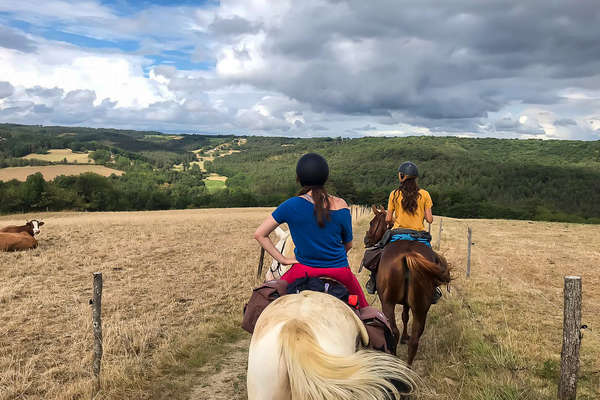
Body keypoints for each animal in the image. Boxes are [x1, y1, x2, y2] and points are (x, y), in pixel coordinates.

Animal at [360, 206, 450, 366]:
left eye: (372, 223)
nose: (367, 239)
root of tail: (409, 255)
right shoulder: (409, 303)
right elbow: (405, 316)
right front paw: (405, 337)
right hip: (421, 308)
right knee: (415, 339)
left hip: (388, 303)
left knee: (393, 331)